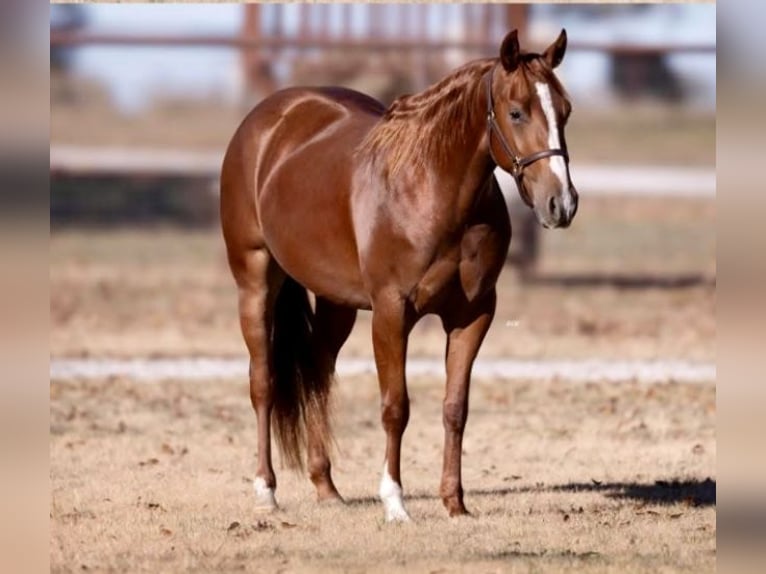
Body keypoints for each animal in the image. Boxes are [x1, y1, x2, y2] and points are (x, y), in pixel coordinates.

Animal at [219, 29, 580, 524]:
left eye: (565, 110)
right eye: (516, 111)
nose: (561, 204)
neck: (431, 189)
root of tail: (267, 119)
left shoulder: (473, 315)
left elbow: (455, 407)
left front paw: (454, 502)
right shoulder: (391, 312)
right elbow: (396, 407)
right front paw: (394, 501)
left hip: (336, 302)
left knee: (317, 371)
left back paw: (326, 487)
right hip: (255, 281)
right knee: (264, 382)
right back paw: (266, 490)